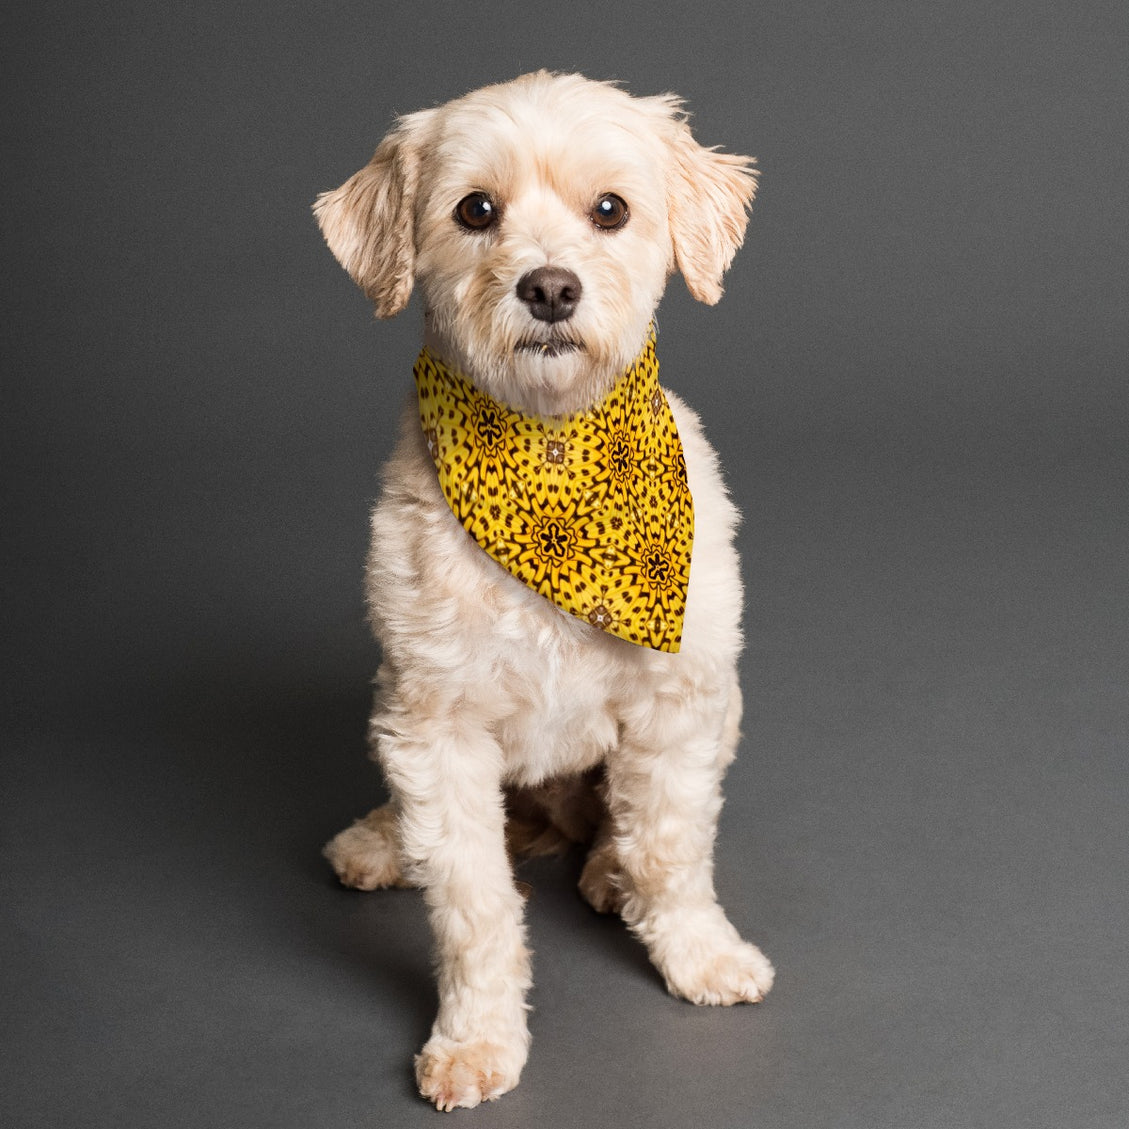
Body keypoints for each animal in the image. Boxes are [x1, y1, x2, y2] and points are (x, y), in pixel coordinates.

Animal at [313, 72, 772, 1110]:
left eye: (611, 210)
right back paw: (382, 841)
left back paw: (605, 870)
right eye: (475, 210)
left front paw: (697, 951)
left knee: (619, 826)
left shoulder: (680, 702)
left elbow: (670, 846)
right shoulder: (434, 725)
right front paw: (476, 1037)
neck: (551, 454)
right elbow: (471, 904)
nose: (551, 287)